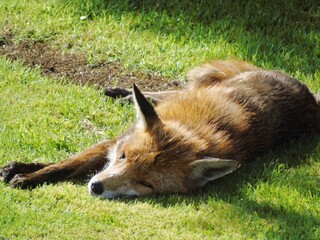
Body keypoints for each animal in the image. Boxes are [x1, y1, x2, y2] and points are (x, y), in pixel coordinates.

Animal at [0, 60, 320, 199]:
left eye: (144, 184)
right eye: (124, 157)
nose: (96, 187)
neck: (188, 132)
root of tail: (309, 96)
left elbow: (68, 167)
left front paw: (25, 178)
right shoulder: (115, 141)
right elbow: (65, 164)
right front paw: (25, 171)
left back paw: (127, 96)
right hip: (203, 84)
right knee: (171, 92)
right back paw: (125, 93)